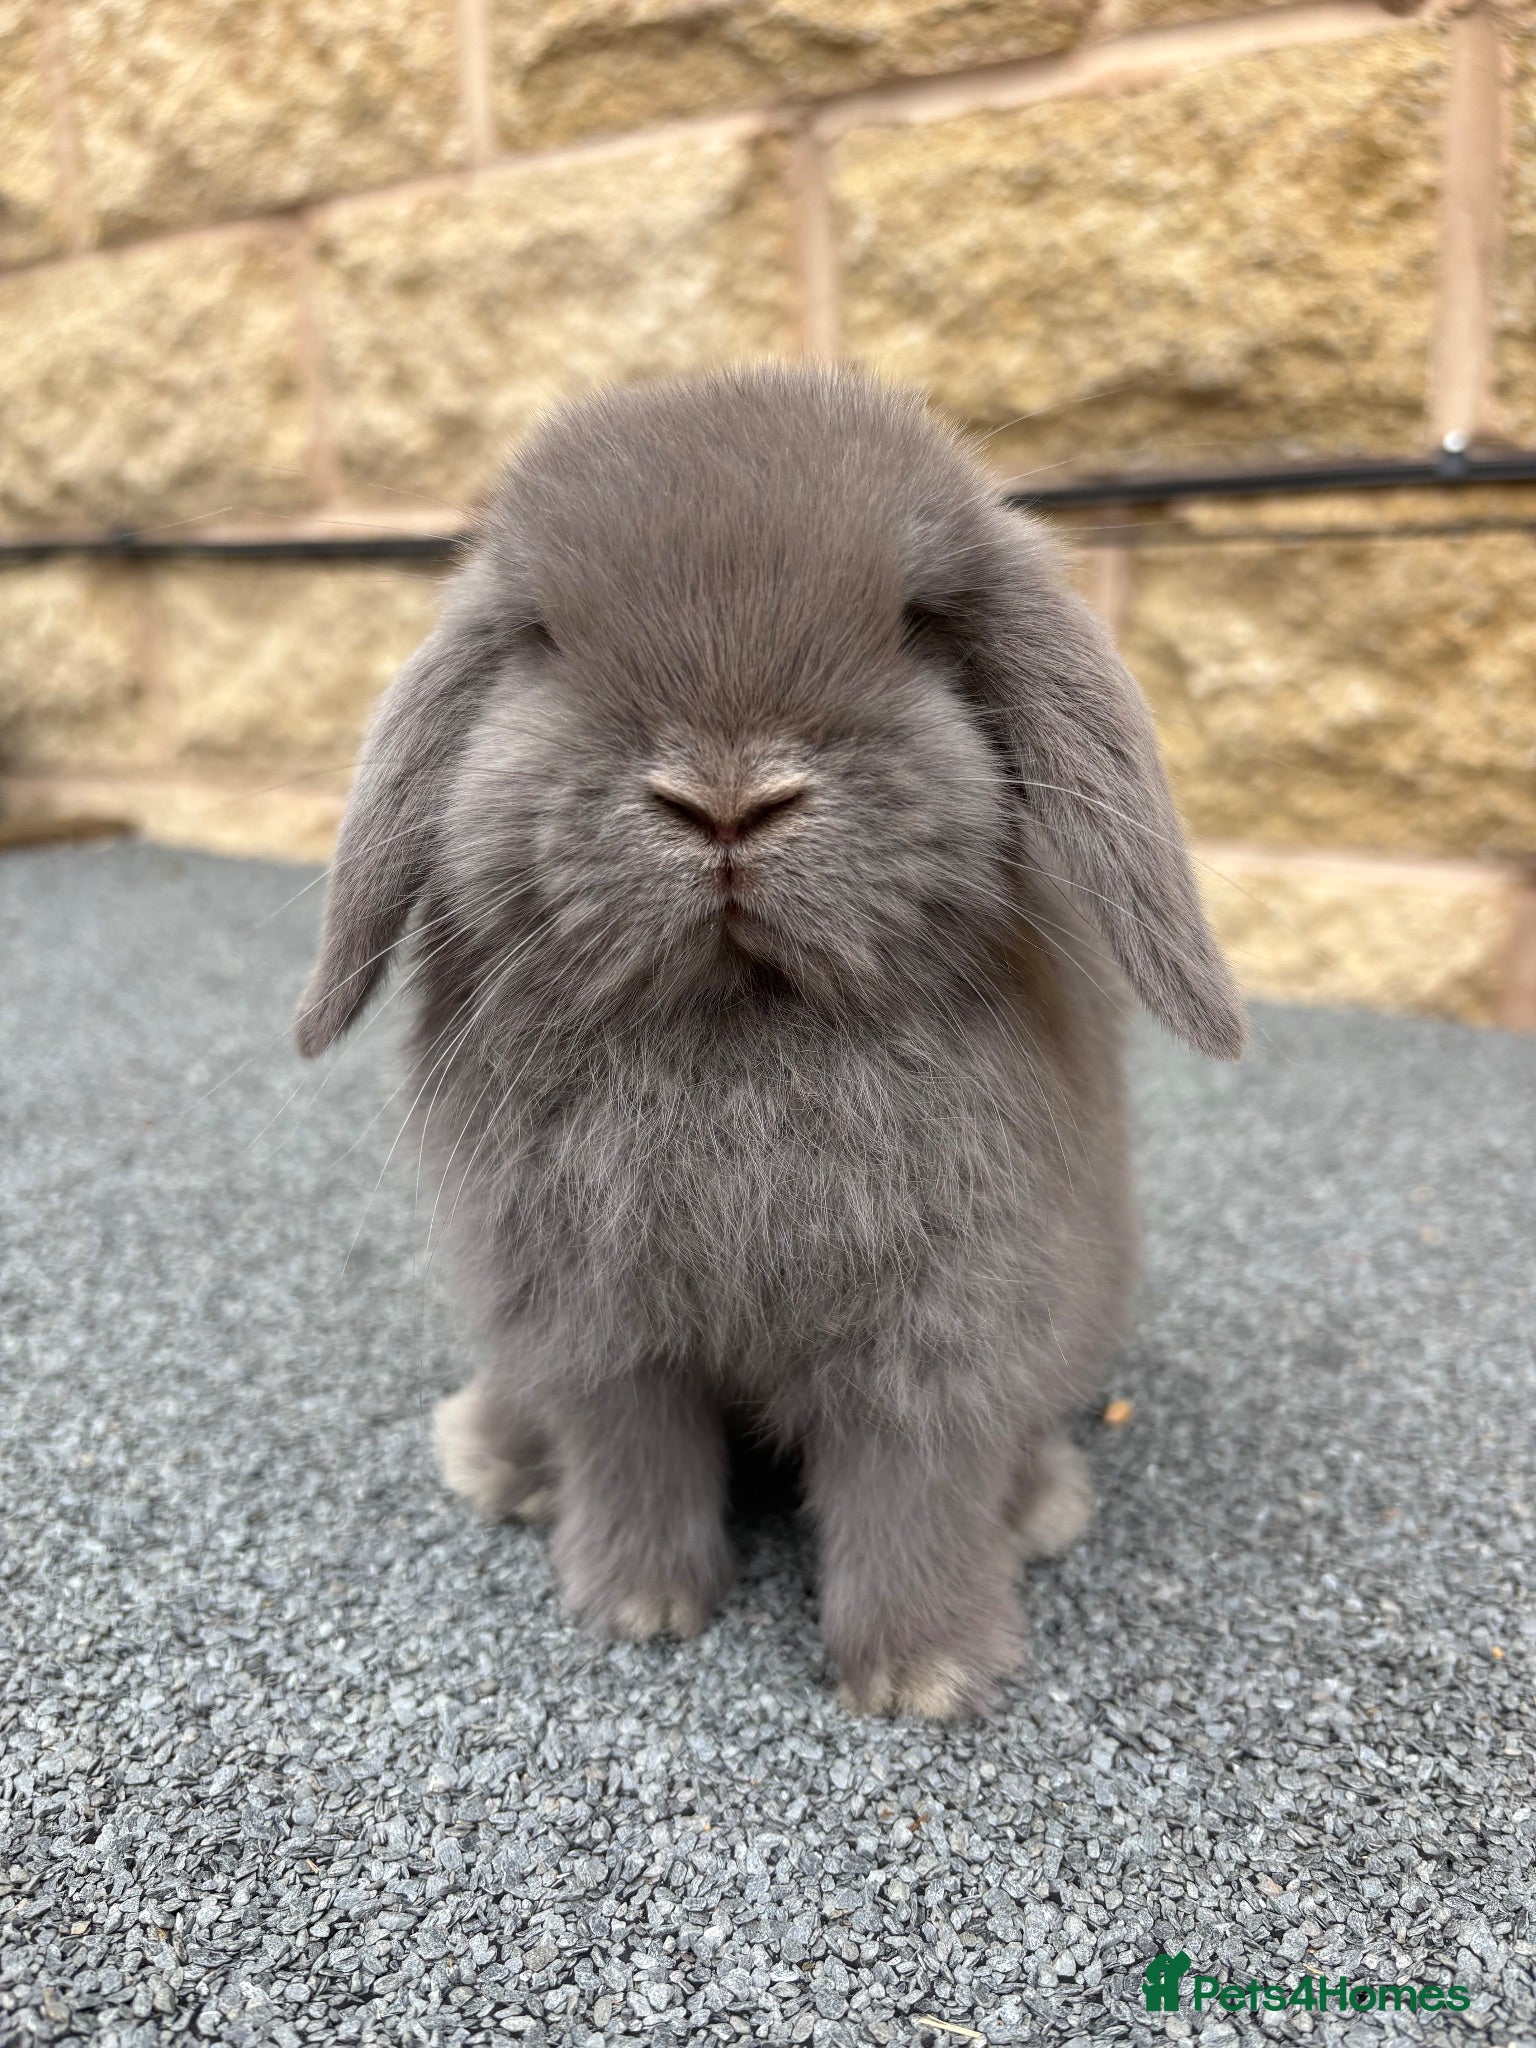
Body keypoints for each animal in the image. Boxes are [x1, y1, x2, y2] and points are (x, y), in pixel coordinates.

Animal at [295, 363, 1244, 1719]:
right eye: (543, 637)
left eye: (920, 621)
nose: (727, 798)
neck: (741, 1024)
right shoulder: (600, 1329)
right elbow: (633, 1458)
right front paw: (637, 1608)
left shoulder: (940, 1339)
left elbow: (914, 1496)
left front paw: (920, 1673)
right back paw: (498, 1458)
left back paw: (1037, 1506)